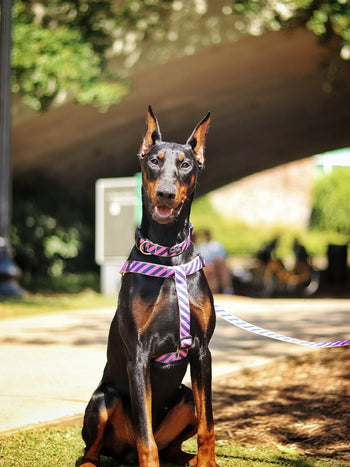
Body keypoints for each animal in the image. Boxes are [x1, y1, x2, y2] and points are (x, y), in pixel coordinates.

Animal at [81, 107, 216, 467]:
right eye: (154, 161)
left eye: (185, 164)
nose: (165, 193)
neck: (167, 254)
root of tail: (123, 455)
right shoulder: (138, 355)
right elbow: (146, 438)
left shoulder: (202, 350)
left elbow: (208, 425)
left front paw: (208, 462)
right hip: (104, 399)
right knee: (93, 449)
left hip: (185, 397)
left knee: (173, 442)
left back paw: (188, 459)